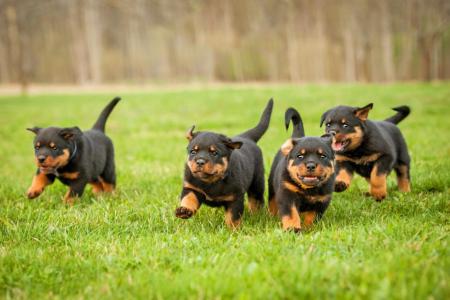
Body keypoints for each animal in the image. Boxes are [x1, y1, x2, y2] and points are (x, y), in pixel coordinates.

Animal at [176, 99, 274, 229]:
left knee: (256, 200)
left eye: (214, 153)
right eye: (193, 151)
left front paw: (233, 230)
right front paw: (184, 210)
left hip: (257, 183)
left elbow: (233, 217)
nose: (200, 161)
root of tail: (247, 137)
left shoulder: (235, 198)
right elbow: (188, 198)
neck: (211, 181)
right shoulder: (191, 187)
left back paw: (257, 215)